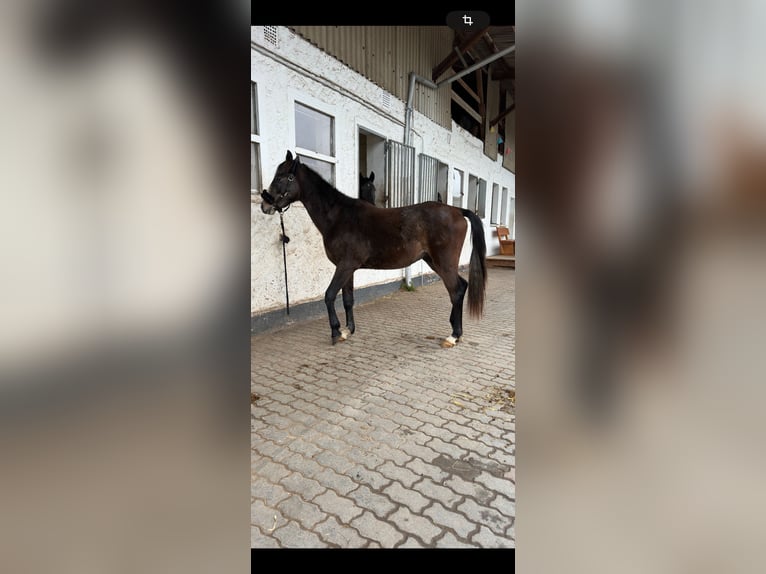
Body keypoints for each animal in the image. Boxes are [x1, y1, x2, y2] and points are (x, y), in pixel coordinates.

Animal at [262, 152, 486, 346]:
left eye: (282, 177)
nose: (265, 205)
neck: (339, 216)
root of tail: (457, 210)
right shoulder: (348, 268)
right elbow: (348, 299)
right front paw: (348, 330)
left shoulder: (345, 266)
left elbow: (329, 295)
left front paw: (336, 332)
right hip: (434, 262)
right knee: (460, 287)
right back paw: (455, 331)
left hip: (444, 263)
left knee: (456, 291)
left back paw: (453, 336)